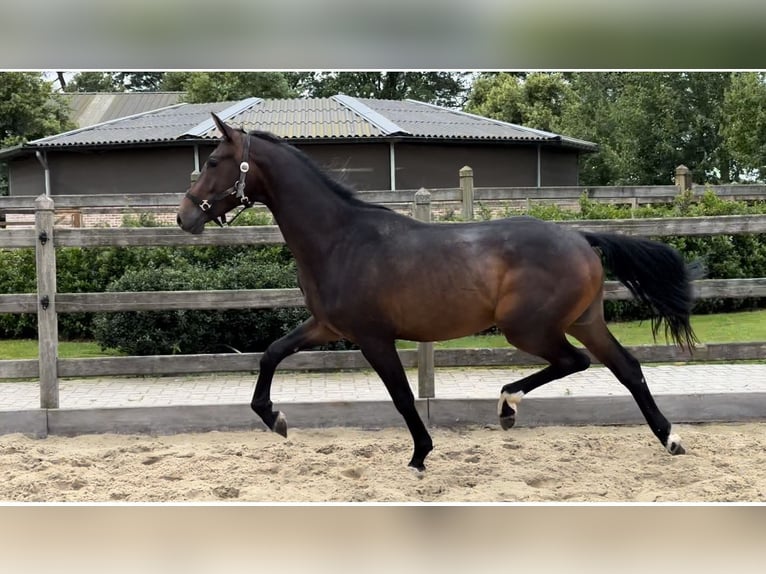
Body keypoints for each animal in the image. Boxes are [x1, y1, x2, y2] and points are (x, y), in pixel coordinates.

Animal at [177, 115, 700, 474]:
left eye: (215, 162)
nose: (185, 218)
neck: (342, 239)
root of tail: (580, 238)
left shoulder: (373, 338)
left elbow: (402, 397)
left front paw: (419, 455)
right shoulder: (327, 326)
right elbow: (271, 353)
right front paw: (275, 419)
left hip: (528, 329)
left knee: (576, 363)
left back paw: (507, 405)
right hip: (584, 321)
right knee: (627, 368)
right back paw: (670, 438)